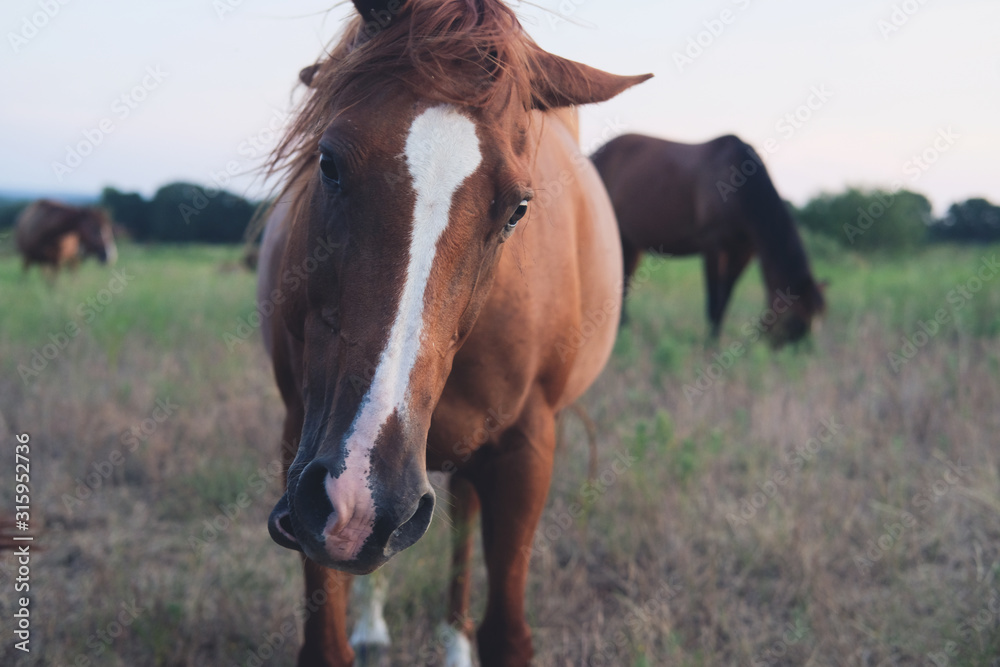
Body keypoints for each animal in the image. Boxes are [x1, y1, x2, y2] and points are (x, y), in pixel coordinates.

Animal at [255, 1, 650, 664]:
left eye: (518, 209)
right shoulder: (300, 442)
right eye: (327, 163)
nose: (360, 497)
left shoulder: (526, 448)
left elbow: (507, 632)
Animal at [591, 133, 825, 346]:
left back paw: (624, 326)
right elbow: (714, 300)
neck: (739, 186)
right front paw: (709, 343)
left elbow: (726, 298)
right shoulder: (714, 247)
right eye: (798, 322)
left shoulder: (744, 252)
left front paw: (717, 339)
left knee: (625, 279)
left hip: (632, 243)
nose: (780, 352)